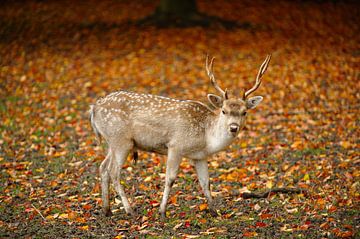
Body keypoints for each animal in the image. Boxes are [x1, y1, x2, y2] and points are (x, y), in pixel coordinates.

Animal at [89, 54, 270, 218]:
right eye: (224, 111)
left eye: (244, 112)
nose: (233, 127)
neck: (206, 138)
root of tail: (94, 108)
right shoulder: (175, 146)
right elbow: (170, 179)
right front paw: (162, 212)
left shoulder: (200, 156)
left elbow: (206, 182)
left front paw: (214, 212)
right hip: (121, 140)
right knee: (113, 171)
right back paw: (129, 210)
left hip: (113, 142)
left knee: (103, 167)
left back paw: (107, 210)